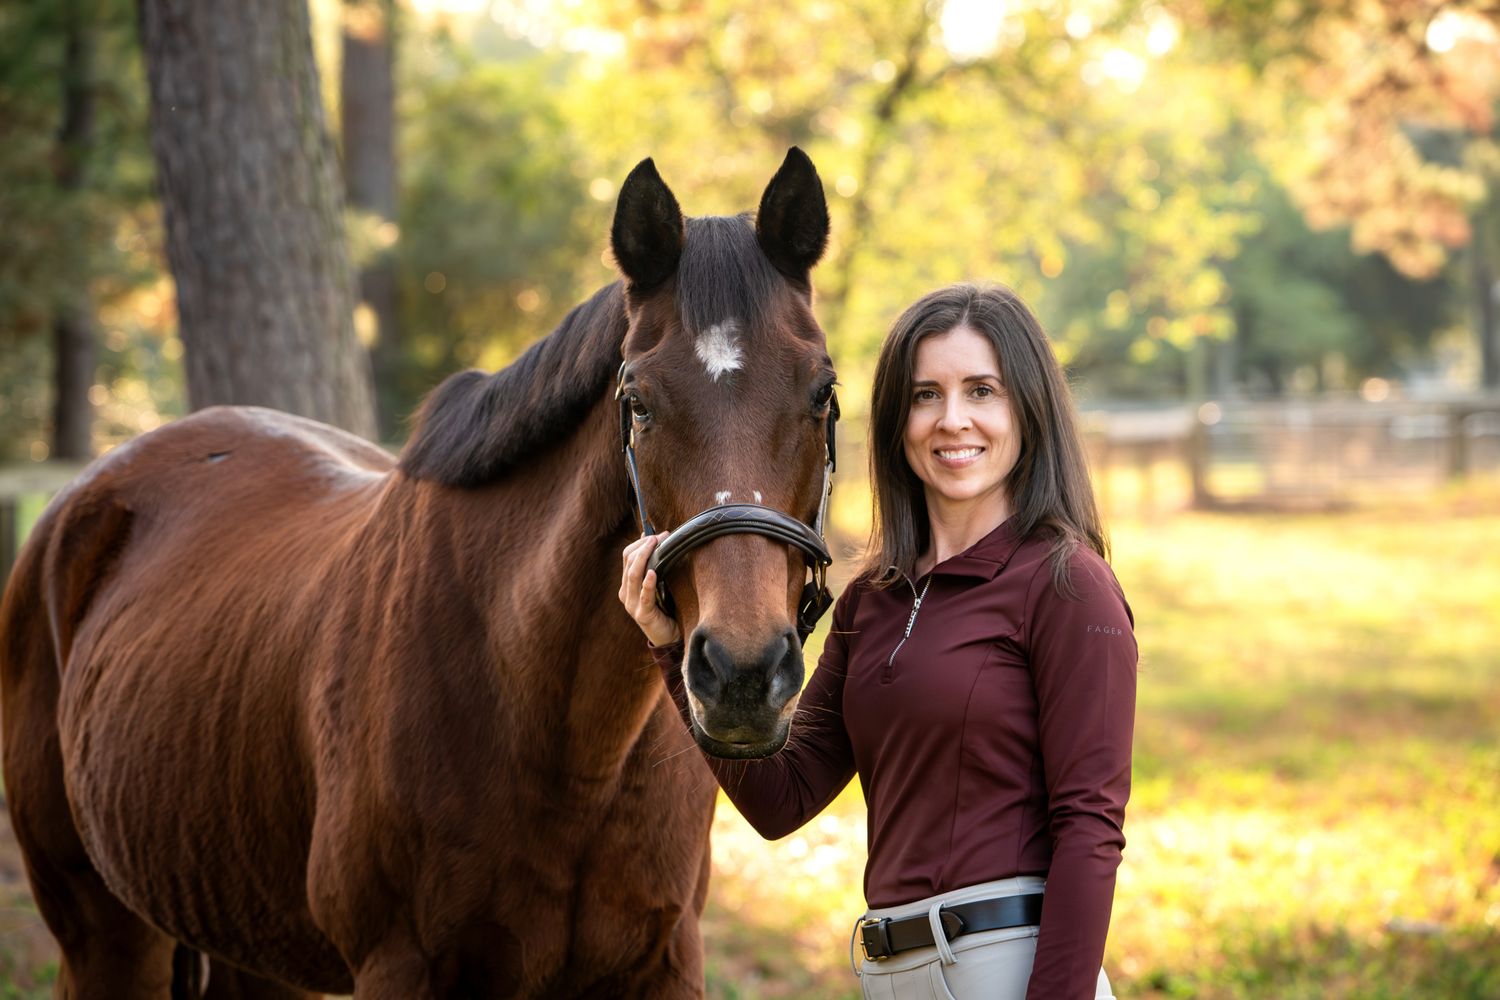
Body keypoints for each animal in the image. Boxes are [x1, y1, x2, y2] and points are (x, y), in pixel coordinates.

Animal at [0, 149, 837, 998]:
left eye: (823, 393)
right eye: (635, 401)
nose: (742, 674)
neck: (561, 745)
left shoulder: (663, 963)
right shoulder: (403, 965)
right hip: (105, 933)